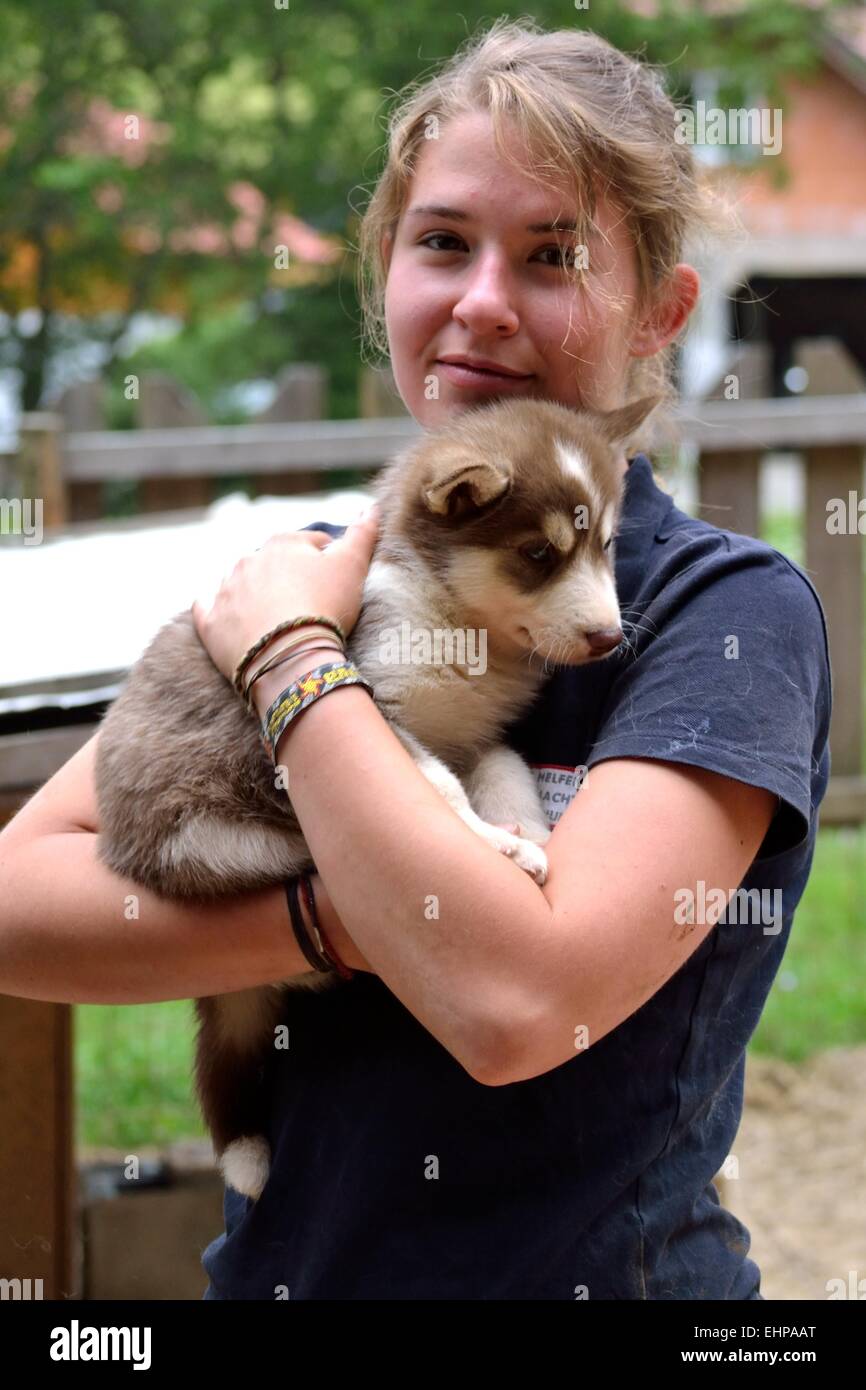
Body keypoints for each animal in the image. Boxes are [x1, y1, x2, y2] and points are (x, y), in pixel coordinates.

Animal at [93, 391, 656, 1195]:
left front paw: (530, 834)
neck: (461, 626)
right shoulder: (382, 707)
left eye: (607, 545)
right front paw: (501, 848)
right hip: (211, 834)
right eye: (538, 554)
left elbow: (503, 770)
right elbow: (442, 791)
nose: (610, 637)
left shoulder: (474, 735)